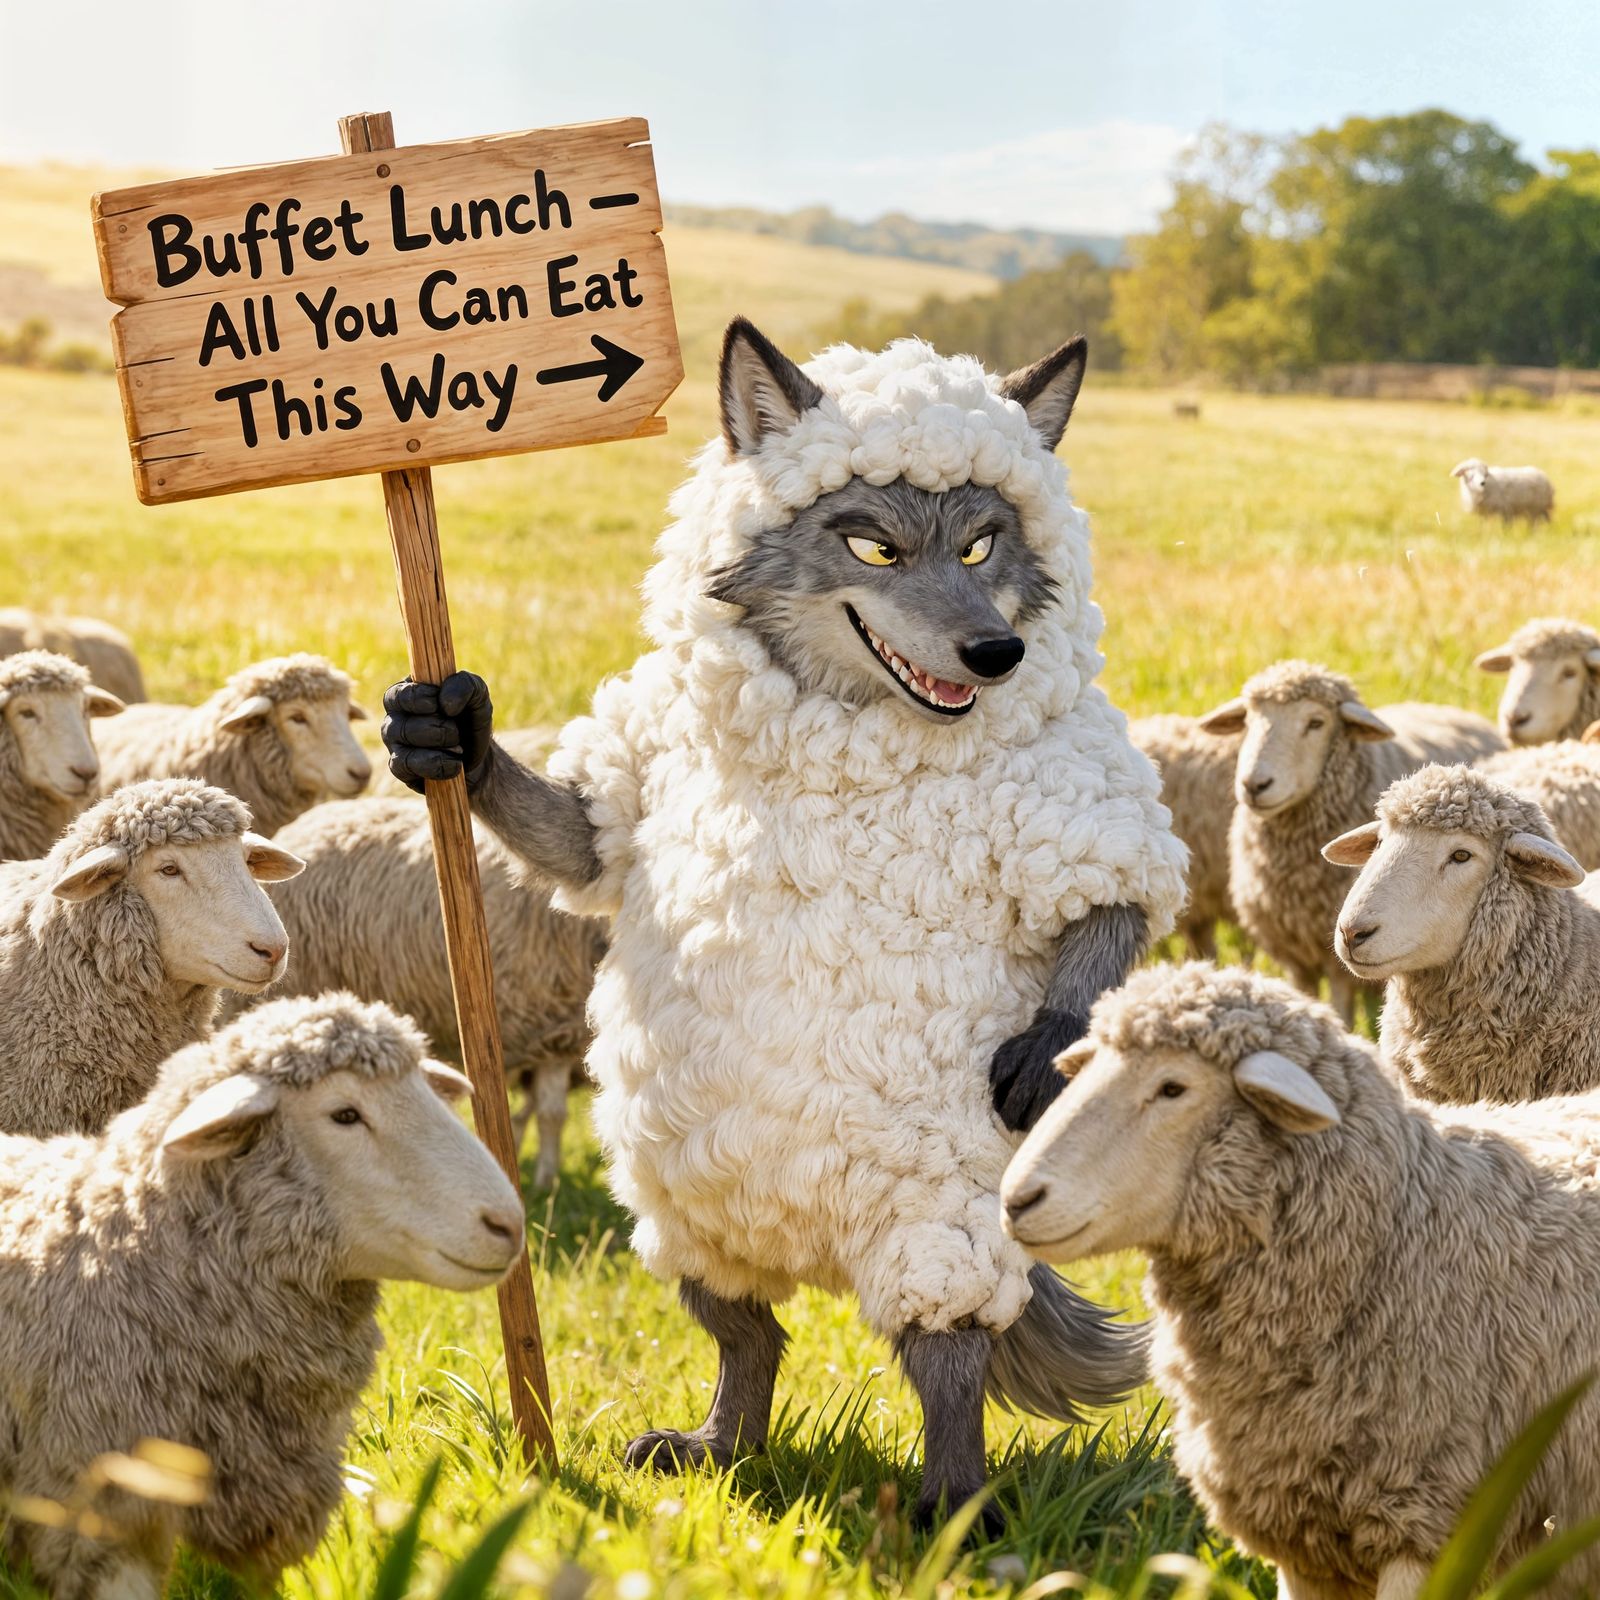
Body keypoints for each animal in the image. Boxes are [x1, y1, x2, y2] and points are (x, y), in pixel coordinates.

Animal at [246, 797, 606, 1187]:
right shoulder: (550, 1029)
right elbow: (548, 1114)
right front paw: (544, 1182)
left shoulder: (555, 1033)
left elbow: (547, 1112)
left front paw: (543, 1178)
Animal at [382, 320, 1186, 1525]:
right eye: (873, 548)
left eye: (984, 544)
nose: (996, 655)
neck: (839, 721)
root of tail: (808, 1232)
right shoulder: (643, 769)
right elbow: (581, 838)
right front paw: (447, 732)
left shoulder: (1072, 798)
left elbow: (1110, 901)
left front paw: (1046, 1045)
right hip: (680, 1191)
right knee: (748, 1332)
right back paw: (717, 1444)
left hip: (936, 1208)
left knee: (945, 1351)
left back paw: (954, 1509)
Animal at [1198, 661, 1503, 1022]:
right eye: (1248, 720)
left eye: (1316, 722)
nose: (1254, 785)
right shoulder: (1294, 953)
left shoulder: (1337, 960)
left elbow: (1341, 1004)